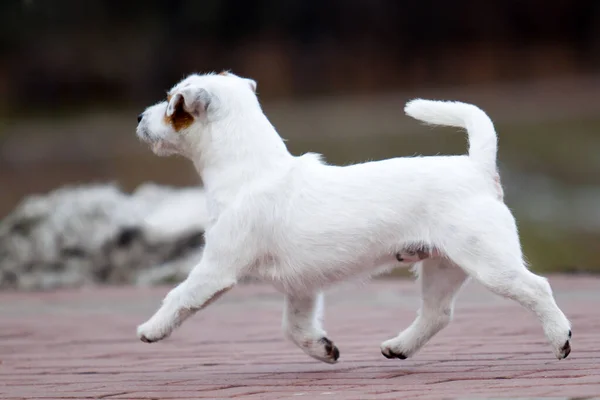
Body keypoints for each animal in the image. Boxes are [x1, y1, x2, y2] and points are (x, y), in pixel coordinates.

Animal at [136, 71, 572, 362]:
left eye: (173, 105)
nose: (140, 117)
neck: (250, 170)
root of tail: (477, 167)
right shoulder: (302, 288)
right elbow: (294, 326)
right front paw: (322, 349)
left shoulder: (216, 268)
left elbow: (179, 296)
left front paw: (150, 329)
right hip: (443, 265)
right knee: (437, 314)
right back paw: (399, 347)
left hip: (489, 261)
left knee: (537, 288)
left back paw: (560, 338)